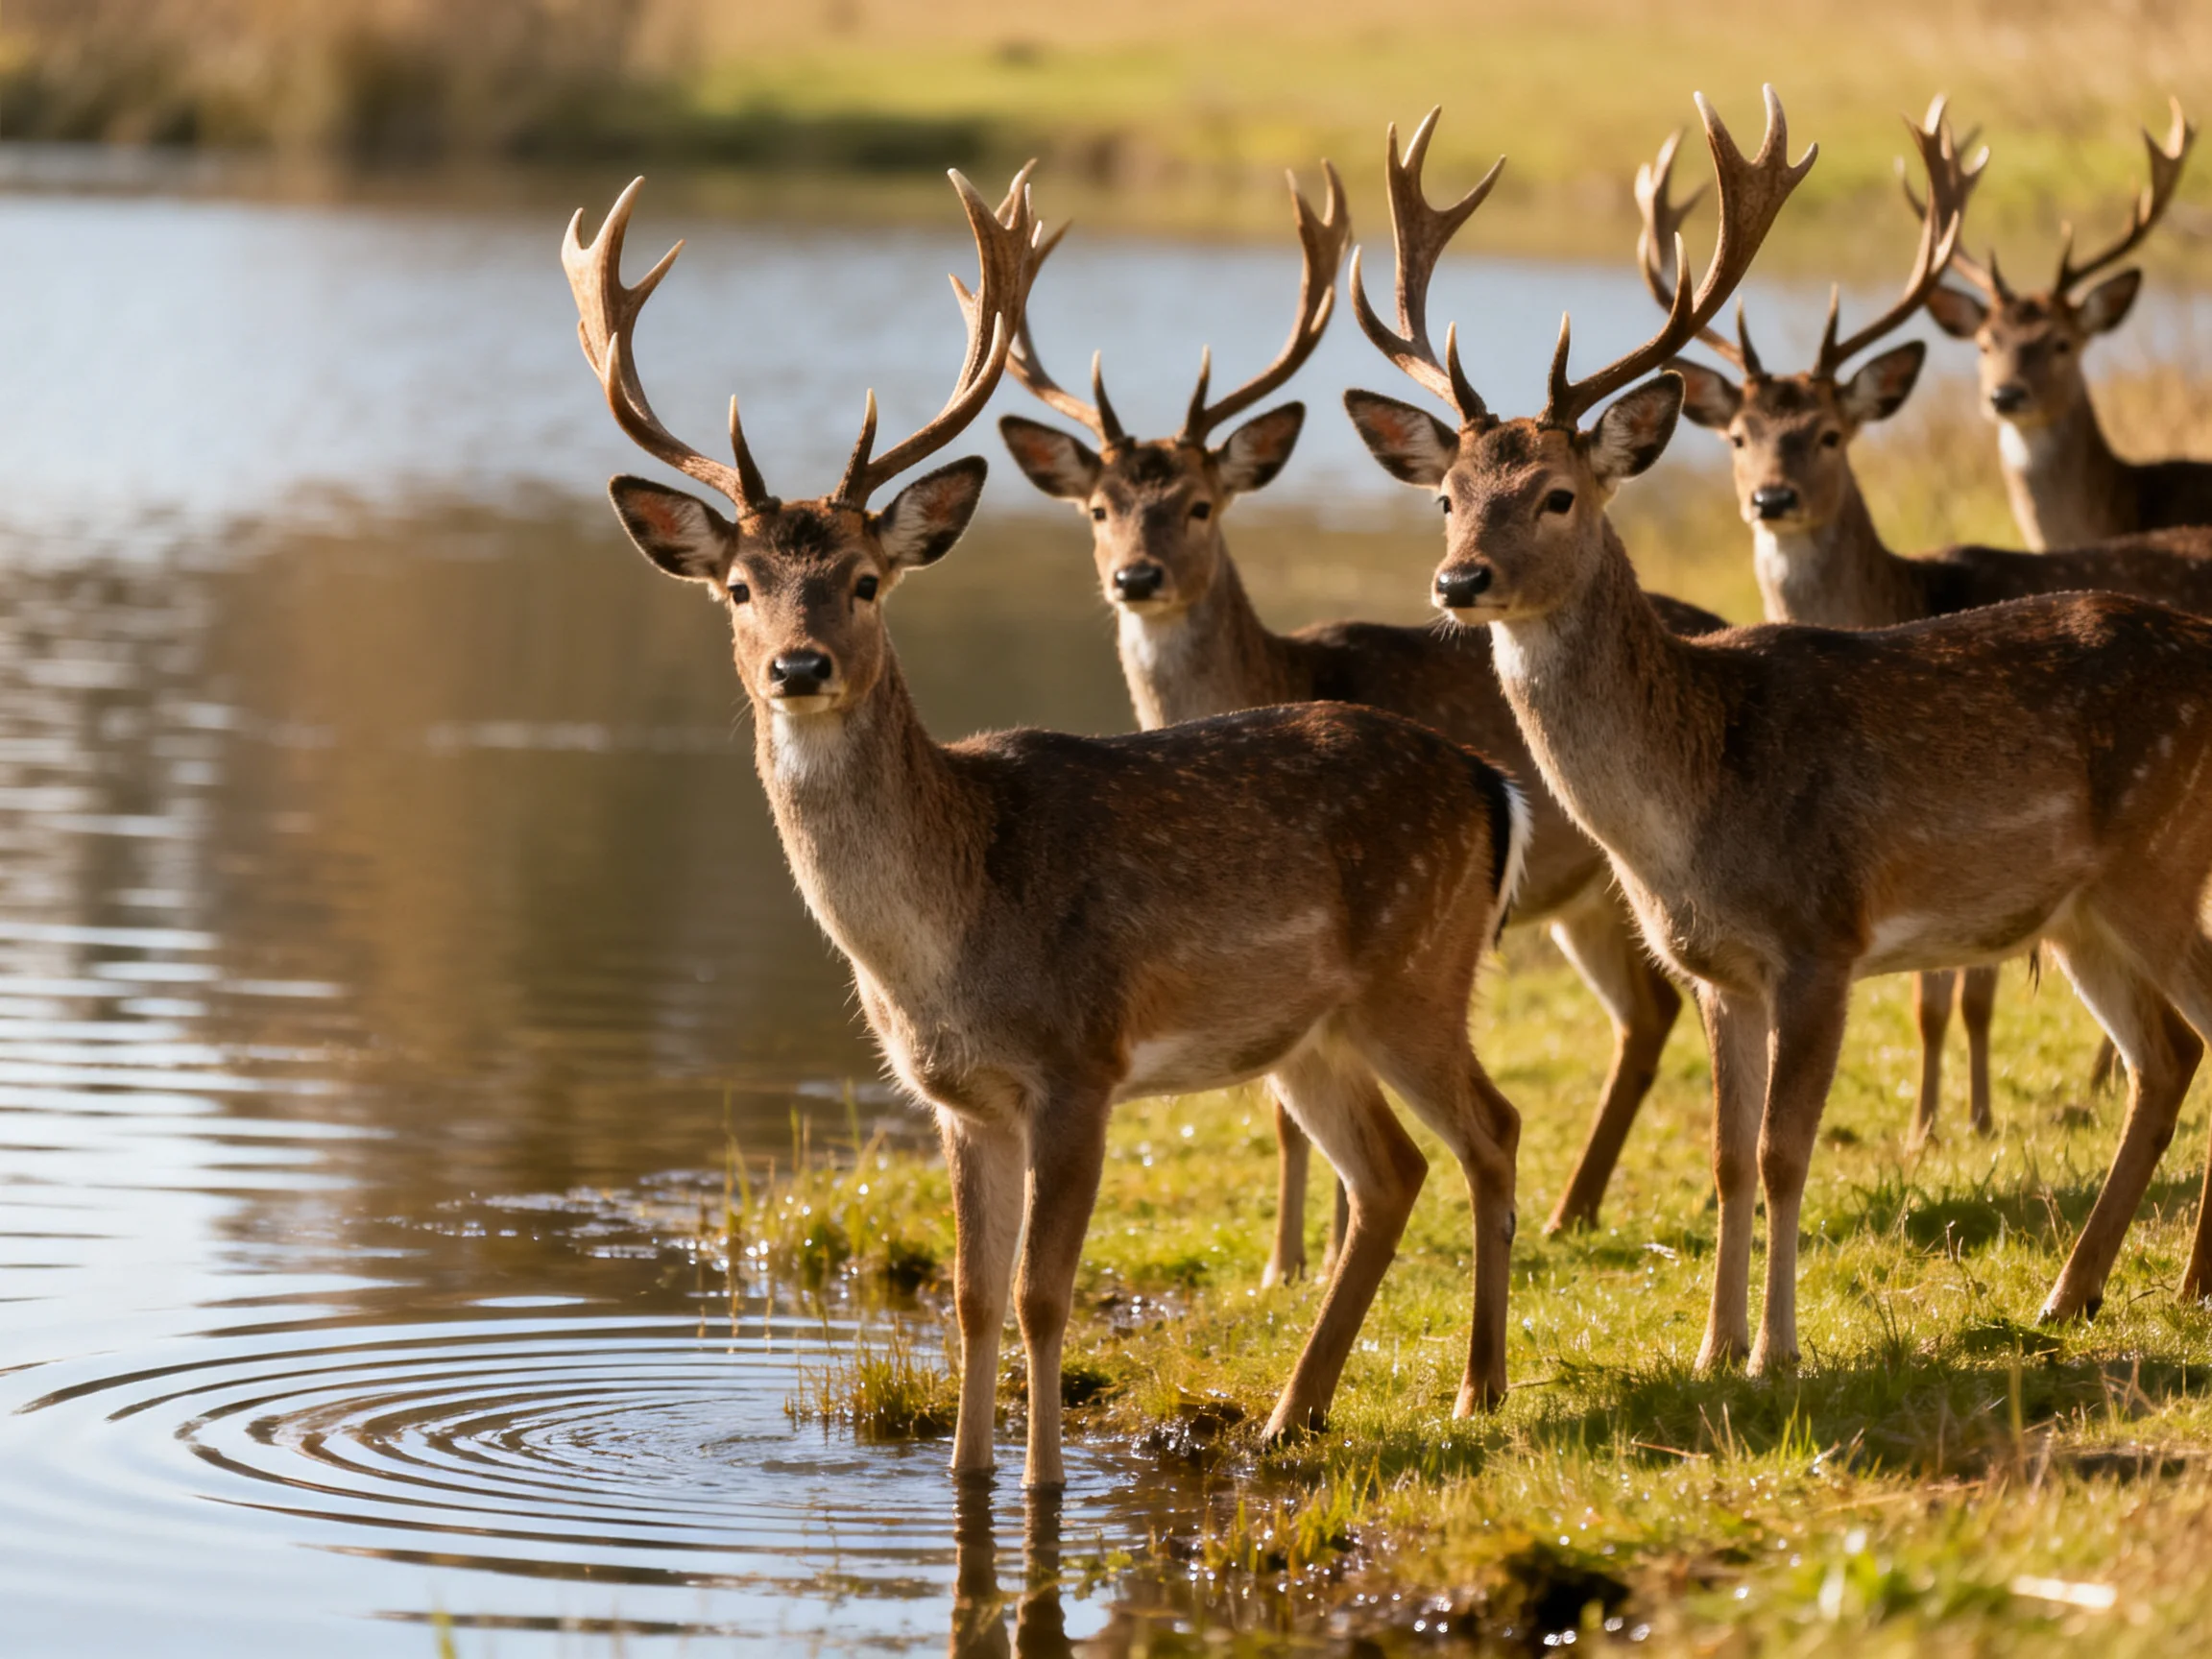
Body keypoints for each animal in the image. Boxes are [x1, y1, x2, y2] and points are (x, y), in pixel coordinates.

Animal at [563, 168, 1533, 1488]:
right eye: (738, 586)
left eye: (866, 580)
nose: (798, 666)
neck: (947, 938)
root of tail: (1492, 785)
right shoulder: (959, 1098)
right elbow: (974, 1297)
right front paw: (968, 1477)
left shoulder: (1082, 1061)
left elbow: (1040, 1293)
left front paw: (1044, 1483)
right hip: (1311, 1027)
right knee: (1392, 1171)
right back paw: (1293, 1413)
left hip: (1415, 970)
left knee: (1491, 1129)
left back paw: (1478, 1388)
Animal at [998, 149, 1726, 1254]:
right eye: (1097, 508)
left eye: (1201, 505)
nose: (1137, 576)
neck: (1284, 672)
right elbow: (1283, 1103)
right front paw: (1292, 1259)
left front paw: (1318, 1251)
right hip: (1584, 896)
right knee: (1647, 1013)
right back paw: (1576, 1208)